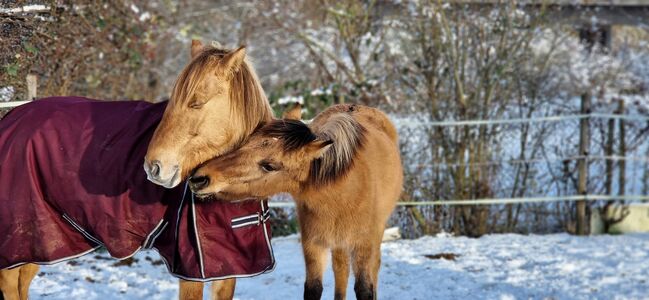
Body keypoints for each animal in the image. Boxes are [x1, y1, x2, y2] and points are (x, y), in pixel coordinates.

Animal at [0, 41, 274, 298]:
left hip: (40, 244)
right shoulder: (191, 272)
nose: (154, 167)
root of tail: (11, 118)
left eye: (196, 103)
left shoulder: (228, 272)